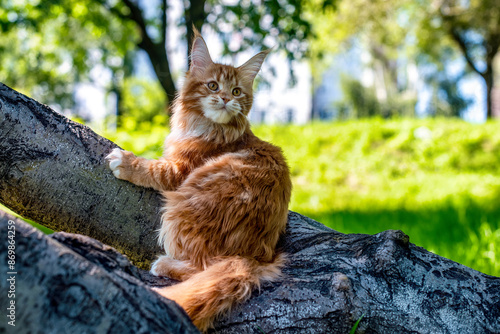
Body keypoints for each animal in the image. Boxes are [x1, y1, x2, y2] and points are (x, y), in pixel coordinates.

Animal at [106, 29, 292, 332]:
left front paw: (126, 161)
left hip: (180, 208)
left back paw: (162, 264)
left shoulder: (180, 169)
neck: (209, 128)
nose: (226, 99)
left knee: (200, 266)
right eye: (213, 86)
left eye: (236, 91)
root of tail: (250, 256)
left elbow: (153, 169)